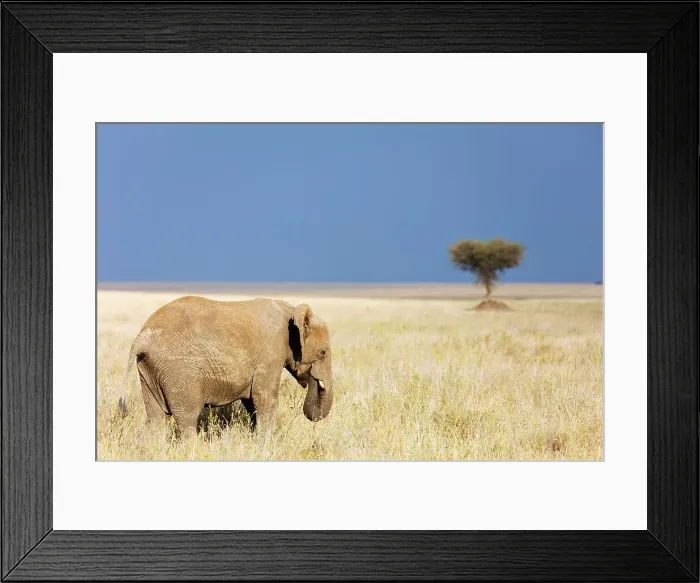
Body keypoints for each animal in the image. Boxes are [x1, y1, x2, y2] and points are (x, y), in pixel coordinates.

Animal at [117, 296, 334, 438]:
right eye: (323, 352)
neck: (290, 309)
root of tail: (142, 337)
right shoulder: (271, 354)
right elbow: (264, 398)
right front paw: (267, 442)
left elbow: (251, 401)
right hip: (178, 372)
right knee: (187, 418)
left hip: (148, 368)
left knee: (156, 418)